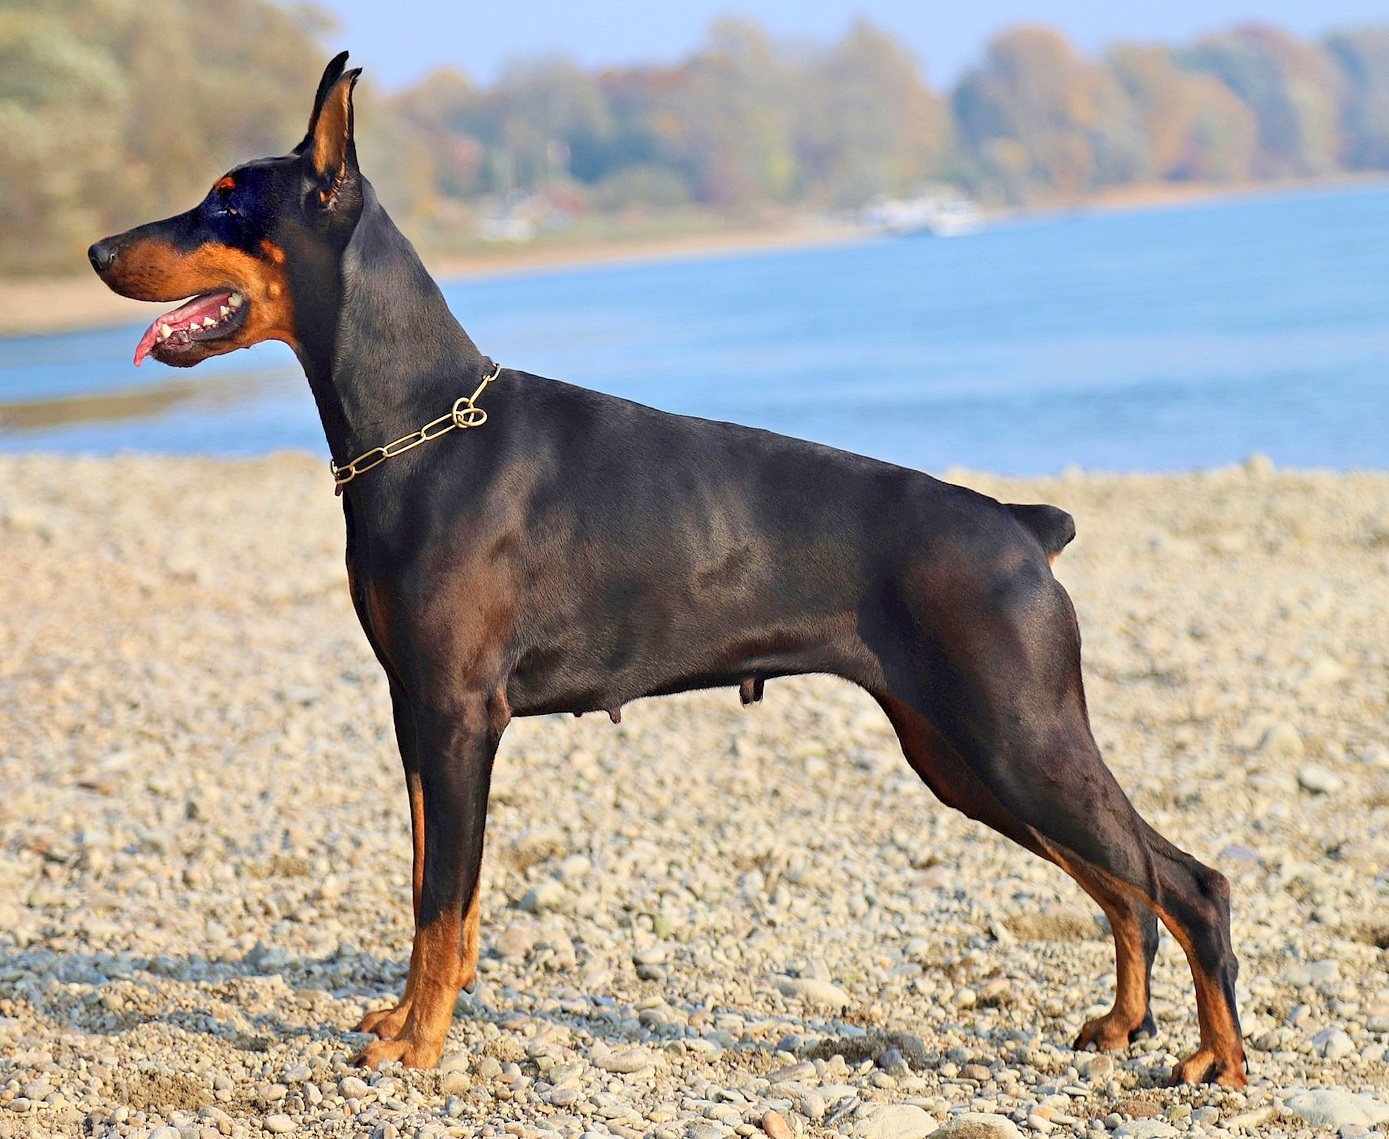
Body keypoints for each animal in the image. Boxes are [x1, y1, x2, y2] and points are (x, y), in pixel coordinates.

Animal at [92, 53, 1255, 1083]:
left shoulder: (459, 712)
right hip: (964, 754)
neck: (421, 423)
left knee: (1187, 882)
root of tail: (1023, 526)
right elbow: (433, 882)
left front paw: (417, 1045)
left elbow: (441, 900)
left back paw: (1218, 1061)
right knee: (1126, 887)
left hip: (1016, 733)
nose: (100, 248)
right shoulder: (416, 710)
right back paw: (1122, 1024)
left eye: (226, 201)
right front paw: (406, 1016)